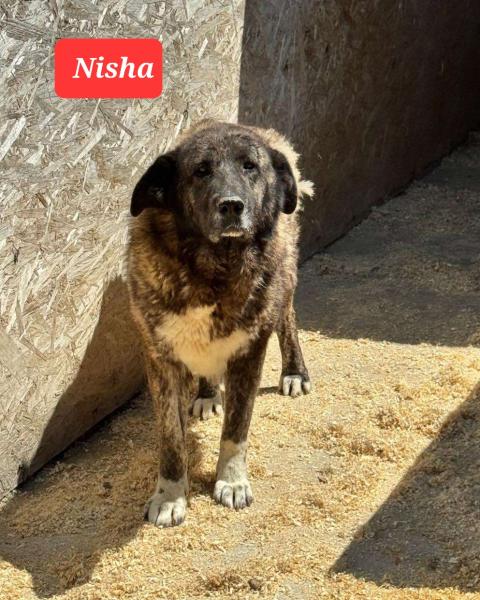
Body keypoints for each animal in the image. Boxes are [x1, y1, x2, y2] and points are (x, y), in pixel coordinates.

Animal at [127, 119, 313, 527]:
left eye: (250, 167)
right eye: (200, 171)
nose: (231, 205)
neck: (213, 267)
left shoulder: (249, 353)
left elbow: (236, 428)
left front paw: (231, 481)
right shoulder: (161, 360)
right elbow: (171, 440)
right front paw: (170, 496)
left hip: (284, 279)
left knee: (288, 320)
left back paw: (294, 371)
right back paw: (208, 393)